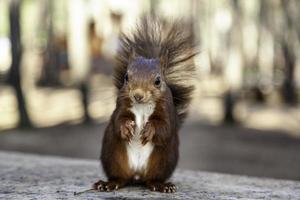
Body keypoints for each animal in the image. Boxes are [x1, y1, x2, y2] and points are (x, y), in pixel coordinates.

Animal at [92, 16, 198, 193]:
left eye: (158, 81)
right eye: (127, 77)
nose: (138, 95)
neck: (142, 106)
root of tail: (137, 173)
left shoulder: (167, 110)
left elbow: (164, 127)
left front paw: (149, 130)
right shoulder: (121, 105)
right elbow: (117, 120)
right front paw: (126, 127)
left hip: (163, 160)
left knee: (151, 180)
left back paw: (162, 185)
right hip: (113, 157)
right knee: (121, 178)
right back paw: (108, 183)